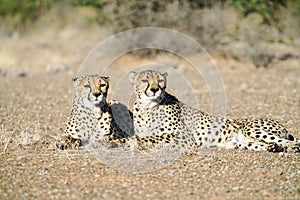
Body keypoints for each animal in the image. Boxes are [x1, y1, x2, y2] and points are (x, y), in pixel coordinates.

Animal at [110, 69, 300, 152]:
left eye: (160, 81)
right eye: (145, 80)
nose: (155, 89)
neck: (148, 107)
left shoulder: (184, 136)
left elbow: (152, 137)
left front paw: (133, 143)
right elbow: (138, 136)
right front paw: (118, 142)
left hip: (251, 128)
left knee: (292, 143)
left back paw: (290, 147)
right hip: (244, 142)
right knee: (269, 144)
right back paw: (273, 148)